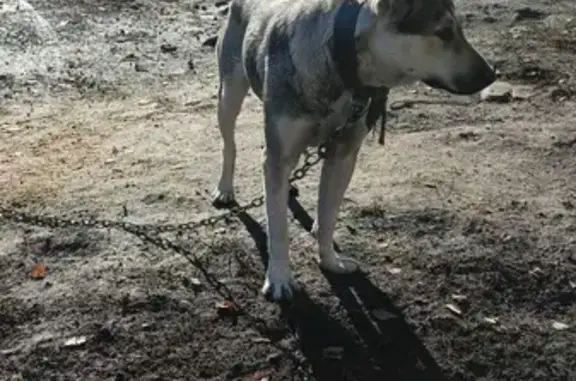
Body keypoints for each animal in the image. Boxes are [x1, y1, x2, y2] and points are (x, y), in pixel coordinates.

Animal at [212, 0, 496, 300]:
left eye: (460, 30)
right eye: (443, 32)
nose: (492, 74)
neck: (342, 61)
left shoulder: (342, 154)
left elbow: (327, 218)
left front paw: (330, 261)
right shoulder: (280, 152)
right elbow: (278, 227)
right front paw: (279, 278)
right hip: (229, 94)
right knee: (230, 145)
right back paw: (225, 189)